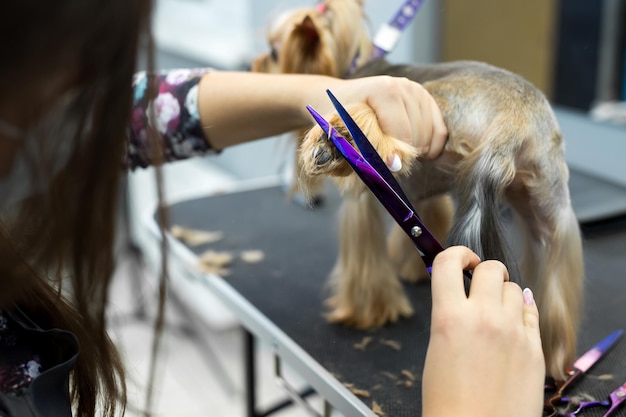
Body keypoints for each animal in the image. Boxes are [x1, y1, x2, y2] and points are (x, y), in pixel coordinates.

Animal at [251, 0, 584, 380]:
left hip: (430, 104)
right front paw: (411, 269)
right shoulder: (424, 192)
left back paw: (334, 137)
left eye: (274, 51)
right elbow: (428, 217)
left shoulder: (364, 199)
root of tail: (512, 122)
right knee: (555, 282)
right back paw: (553, 359)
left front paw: (364, 313)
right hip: (552, 210)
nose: (253, 65)